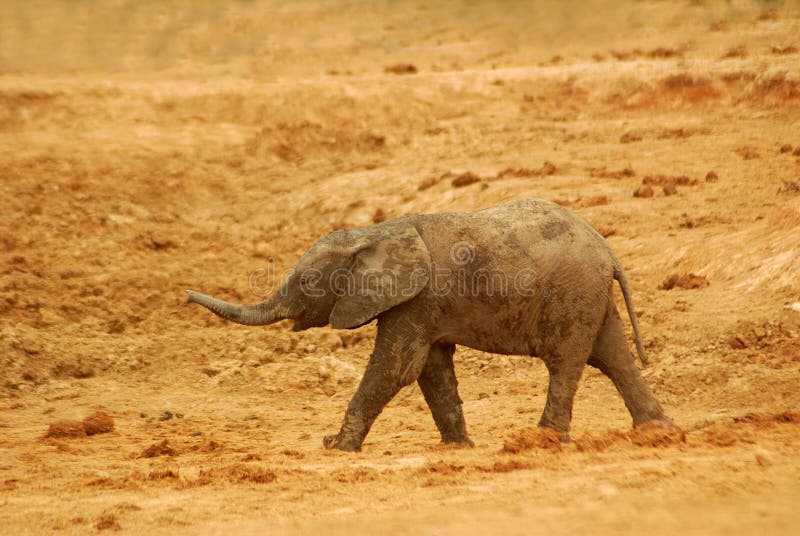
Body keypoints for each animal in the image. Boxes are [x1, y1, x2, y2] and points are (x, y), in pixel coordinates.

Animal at [187, 198, 671, 452]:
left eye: (306, 282)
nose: (187, 295)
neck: (375, 232)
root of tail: (608, 251)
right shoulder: (426, 308)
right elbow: (431, 371)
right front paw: (457, 448)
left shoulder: (415, 300)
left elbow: (395, 369)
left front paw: (336, 447)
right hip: (590, 296)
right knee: (612, 357)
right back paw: (658, 431)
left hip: (573, 293)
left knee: (568, 363)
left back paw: (541, 442)